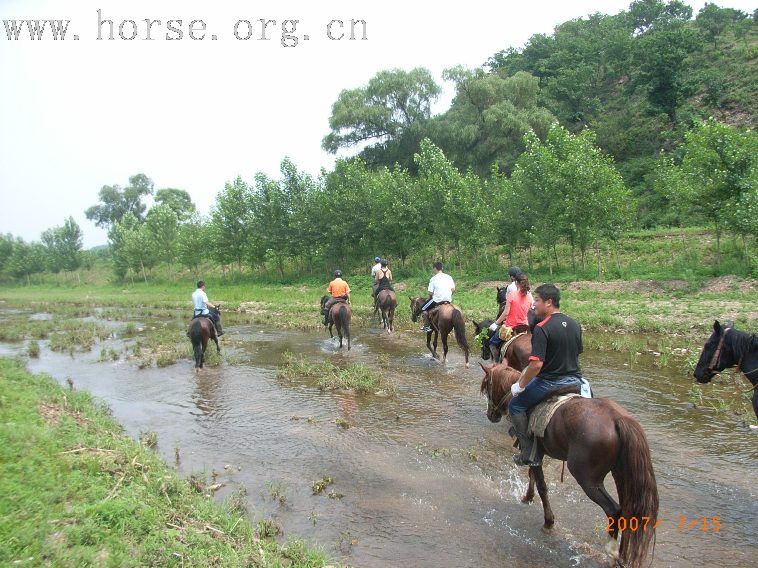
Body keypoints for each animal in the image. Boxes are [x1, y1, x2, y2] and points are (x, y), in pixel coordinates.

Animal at [484, 364, 664, 568]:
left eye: (487, 386)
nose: (491, 415)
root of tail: (617, 419)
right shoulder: (537, 452)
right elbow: (532, 475)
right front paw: (527, 497)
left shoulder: (531, 450)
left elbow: (541, 485)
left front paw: (548, 522)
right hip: (621, 474)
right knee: (628, 510)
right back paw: (623, 555)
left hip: (587, 478)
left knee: (613, 510)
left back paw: (611, 551)